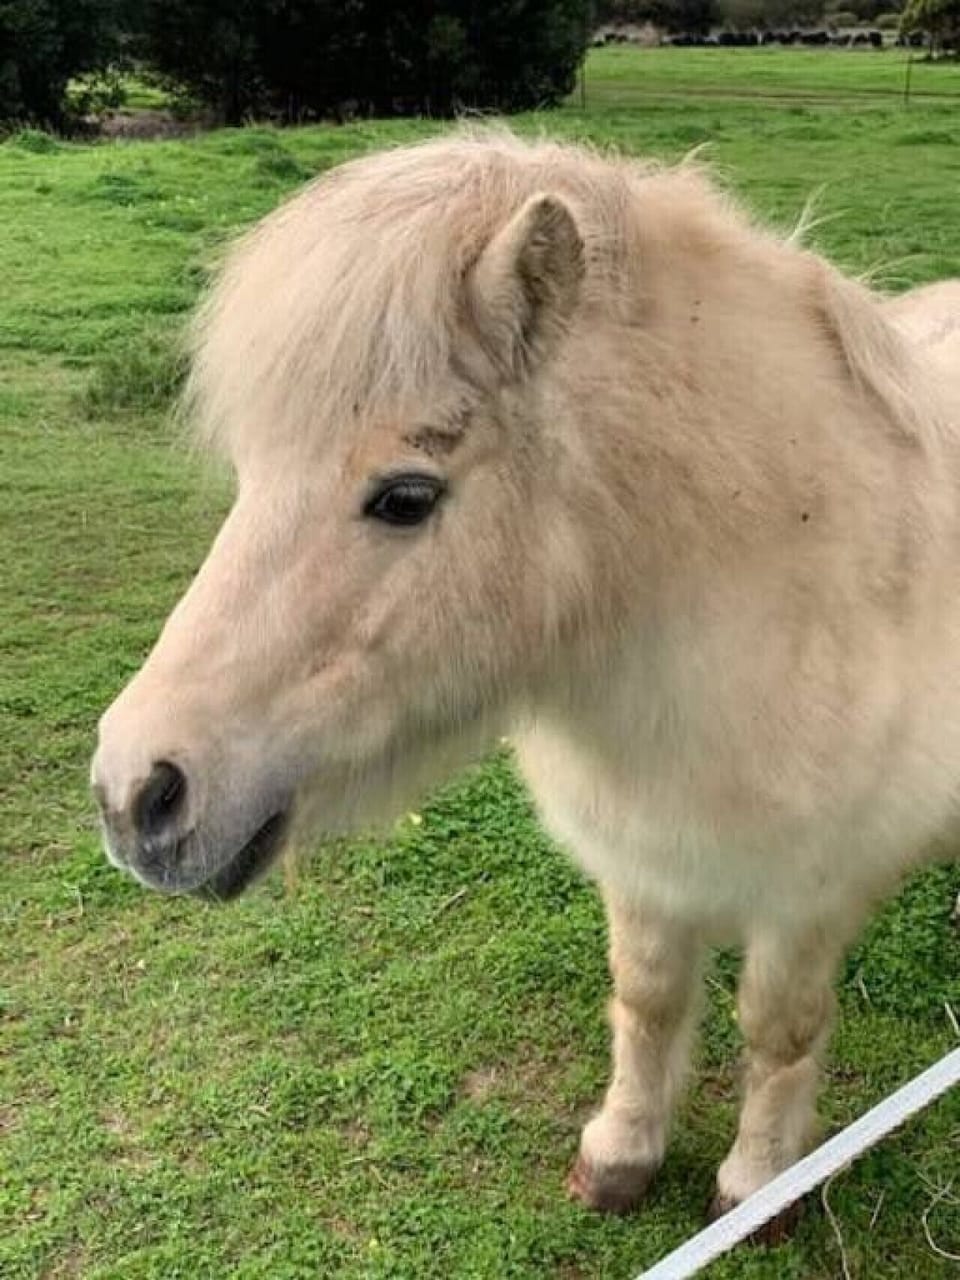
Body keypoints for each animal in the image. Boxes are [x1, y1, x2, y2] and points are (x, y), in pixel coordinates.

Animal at [92, 131, 960, 1225]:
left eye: (406, 497)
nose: (135, 795)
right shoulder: (646, 862)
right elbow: (647, 998)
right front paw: (621, 1154)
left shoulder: (811, 893)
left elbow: (778, 1028)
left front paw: (758, 1186)